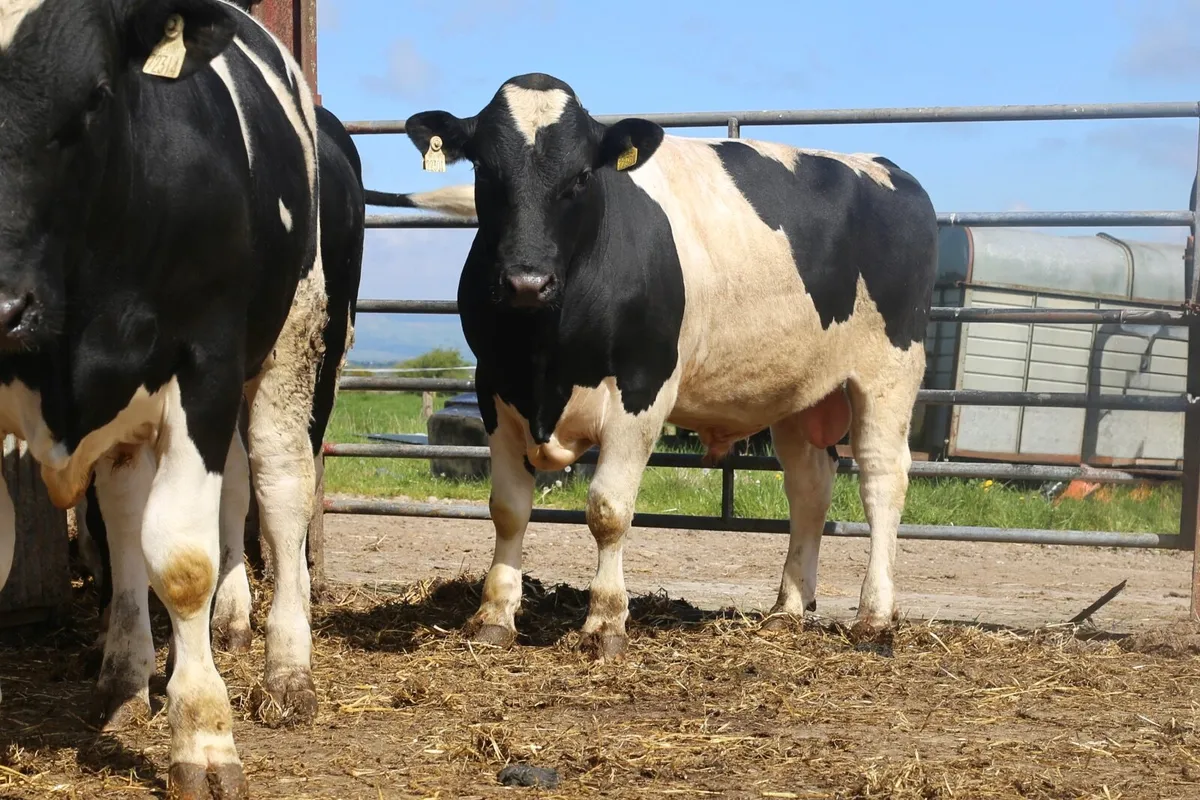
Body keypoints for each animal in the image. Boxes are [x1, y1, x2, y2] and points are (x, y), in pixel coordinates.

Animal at [0, 1, 463, 795]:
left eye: (95, 96)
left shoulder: (204, 364)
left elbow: (185, 563)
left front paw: (205, 738)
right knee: (147, 508)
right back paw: (139, 668)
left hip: (299, 344)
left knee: (278, 488)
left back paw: (285, 670)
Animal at [369, 73, 937, 660]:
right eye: (484, 169)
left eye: (581, 176)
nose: (526, 282)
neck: (544, 354)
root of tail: (887, 169)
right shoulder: (495, 390)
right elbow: (507, 508)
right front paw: (495, 615)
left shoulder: (642, 389)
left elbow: (608, 510)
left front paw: (605, 622)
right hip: (799, 392)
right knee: (809, 487)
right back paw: (788, 610)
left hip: (889, 372)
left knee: (882, 479)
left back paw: (874, 617)